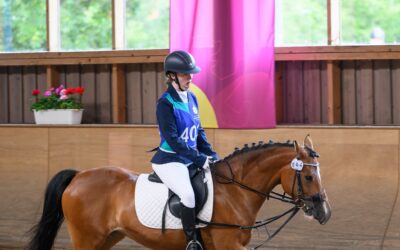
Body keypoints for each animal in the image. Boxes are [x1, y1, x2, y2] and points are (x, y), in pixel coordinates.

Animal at [28, 136, 332, 250]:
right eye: (308, 176)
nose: (324, 213)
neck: (236, 191)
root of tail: (79, 176)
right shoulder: (228, 245)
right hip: (87, 239)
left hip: (107, 238)